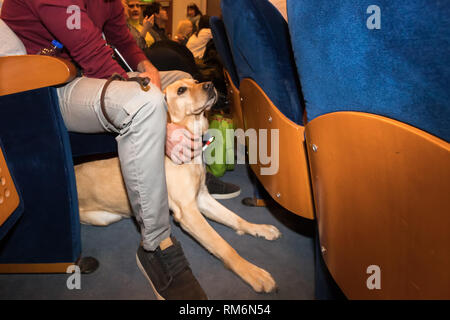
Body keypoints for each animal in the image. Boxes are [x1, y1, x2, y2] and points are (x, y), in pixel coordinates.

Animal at [77, 79, 282, 292]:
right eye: (181, 90)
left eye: (195, 81)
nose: (210, 84)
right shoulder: (188, 212)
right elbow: (222, 245)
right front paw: (252, 272)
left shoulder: (202, 199)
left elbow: (236, 218)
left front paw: (259, 228)